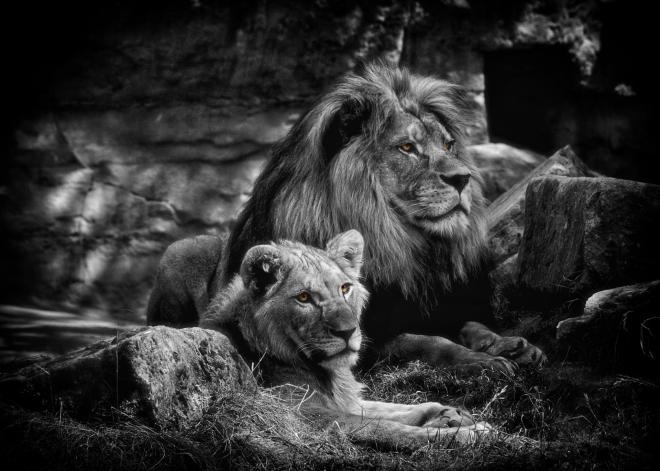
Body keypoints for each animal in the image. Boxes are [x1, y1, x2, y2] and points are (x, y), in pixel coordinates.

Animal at [147, 62, 544, 372]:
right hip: (182, 249)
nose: (463, 178)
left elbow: (470, 324)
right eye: (407, 148)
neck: (401, 245)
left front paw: (508, 344)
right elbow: (427, 342)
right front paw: (481, 362)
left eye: (448, 145)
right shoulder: (362, 341)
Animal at [200, 230, 491, 446]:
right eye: (304, 297)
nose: (348, 331)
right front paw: (469, 433)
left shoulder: (344, 401)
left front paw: (448, 413)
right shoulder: (299, 416)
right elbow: (384, 427)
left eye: (345, 288)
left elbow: (391, 408)